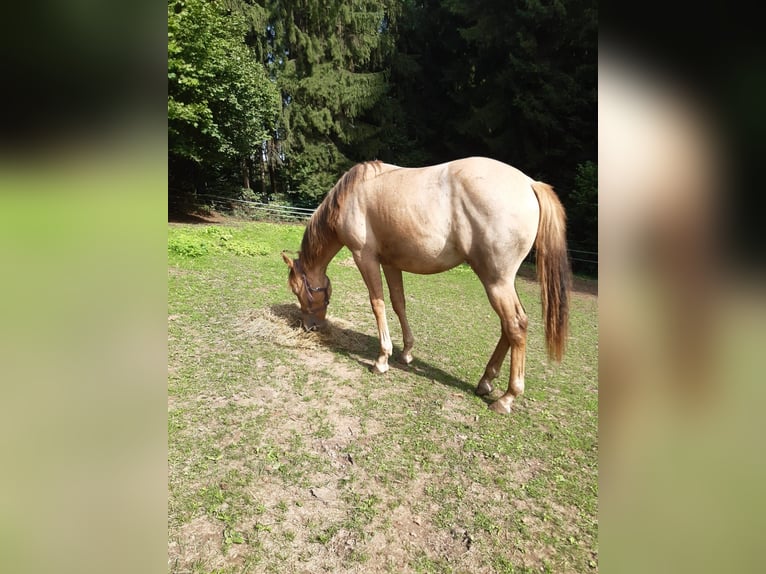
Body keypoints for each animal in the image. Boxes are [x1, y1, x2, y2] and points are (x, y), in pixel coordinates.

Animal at [281, 157, 570, 414]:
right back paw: (486, 381)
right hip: (500, 282)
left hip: (496, 281)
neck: (353, 194)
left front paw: (382, 359)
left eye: (297, 290)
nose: (309, 327)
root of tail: (530, 184)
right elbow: (398, 303)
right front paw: (406, 352)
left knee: (516, 325)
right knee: (507, 328)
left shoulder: (365, 257)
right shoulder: (390, 263)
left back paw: (507, 398)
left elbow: (377, 304)